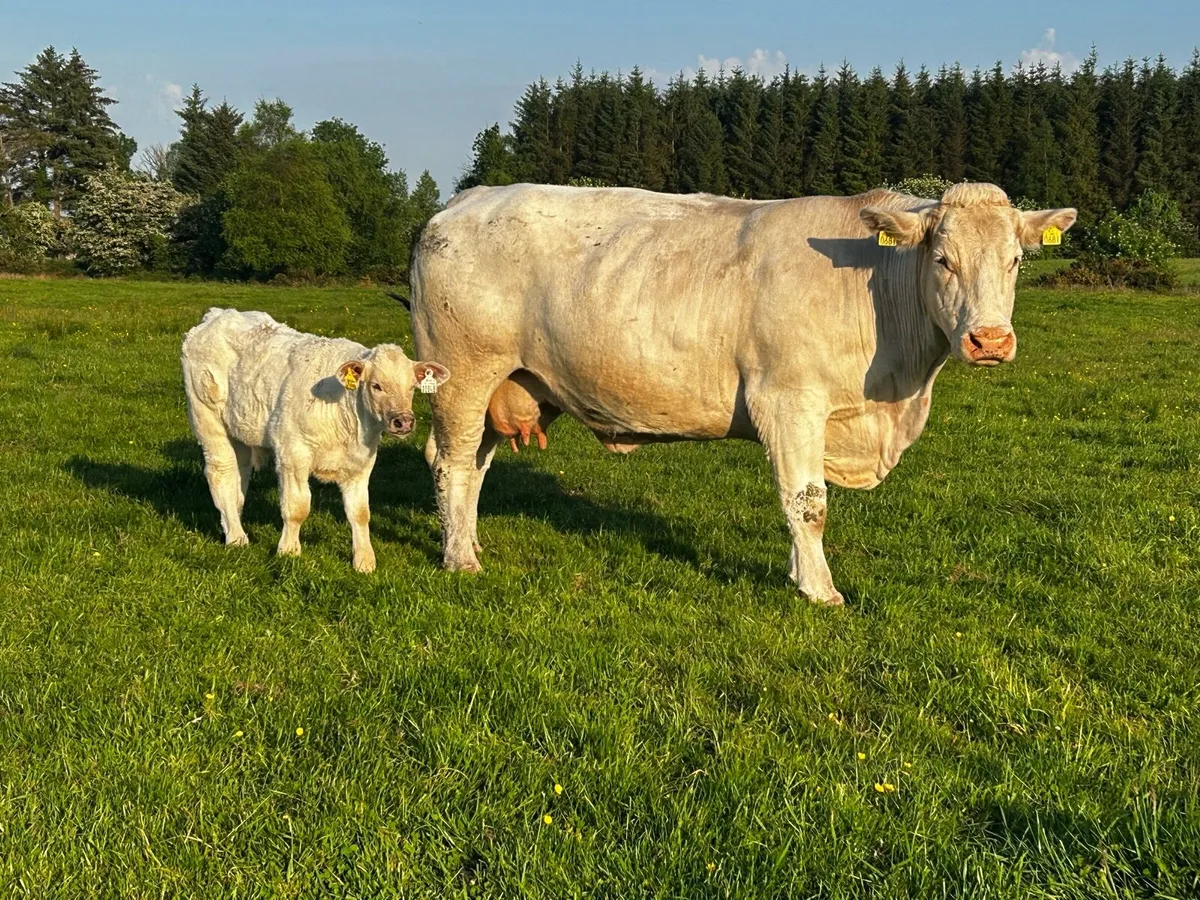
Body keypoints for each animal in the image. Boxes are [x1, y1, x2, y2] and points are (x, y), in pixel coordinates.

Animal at [181, 308, 449, 572]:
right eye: (376, 386)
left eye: (412, 386)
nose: (403, 421)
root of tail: (217, 314)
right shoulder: (292, 453)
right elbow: (297, 507)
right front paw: (289, 550)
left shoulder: (361, 462)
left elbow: (360, 513)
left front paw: (364, 561)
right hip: (208, 418)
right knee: (222, 473)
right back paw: (237, 538)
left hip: (241, 430)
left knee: (239, 477)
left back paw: (230, 524)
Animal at [409, 182, 1075, 604]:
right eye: (942, 259)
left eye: (1017, 260)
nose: (990, 340)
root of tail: (463, 201)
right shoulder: (788, 400)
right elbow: (808, 501)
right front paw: (819, 589)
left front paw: (798, 574)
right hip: (462, 373)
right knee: (450, 462)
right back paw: (459, 558)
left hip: (502, 385)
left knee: (475, 466)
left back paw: (468, 539)